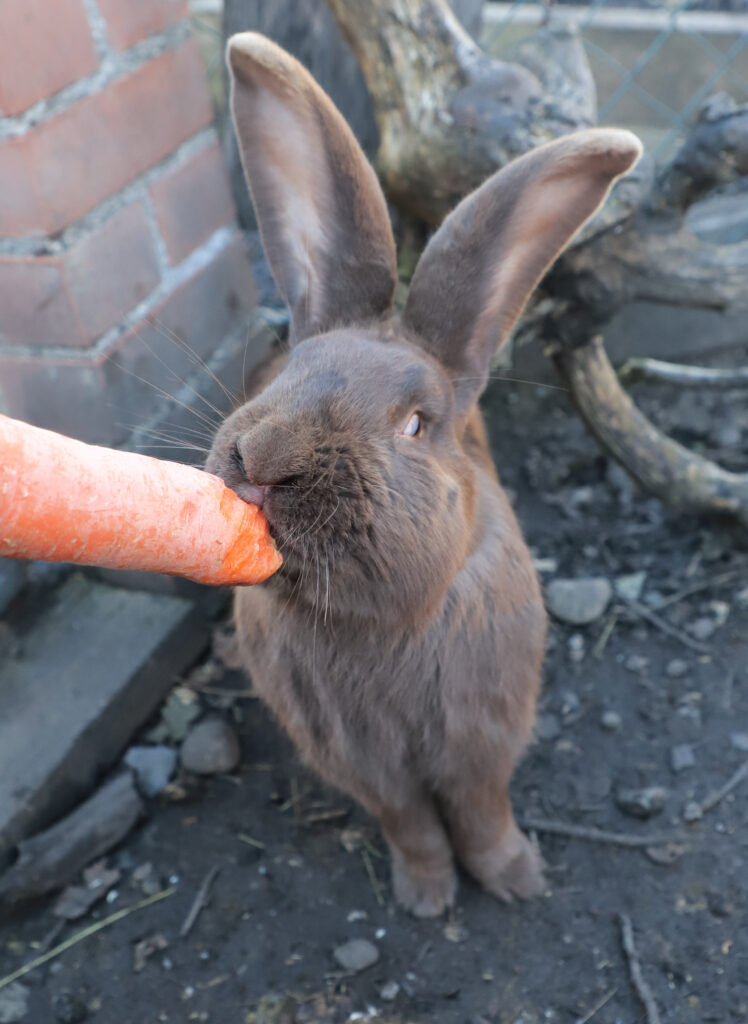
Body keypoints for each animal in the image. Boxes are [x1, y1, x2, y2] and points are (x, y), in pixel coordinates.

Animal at [206, 32, 642, 917]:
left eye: (416, 424)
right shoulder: (367, 765)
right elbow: (409, 823)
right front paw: (427, 896)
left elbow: (480, 812)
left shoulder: (480, 742)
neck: (371, 624)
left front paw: (515, 881)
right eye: (285, 374)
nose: (264, 460)